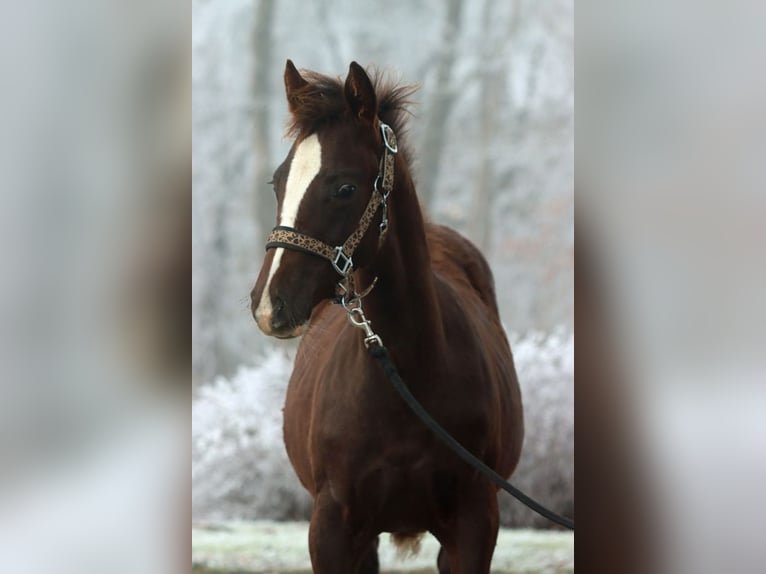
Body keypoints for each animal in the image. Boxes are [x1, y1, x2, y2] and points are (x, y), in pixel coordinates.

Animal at [250, 60, 524, 574]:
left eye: (344, 187)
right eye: (278, 182)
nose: (270, 305)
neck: (408, 378)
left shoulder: (475, 527)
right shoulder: (332, 530)